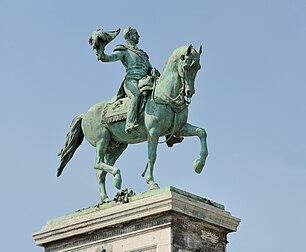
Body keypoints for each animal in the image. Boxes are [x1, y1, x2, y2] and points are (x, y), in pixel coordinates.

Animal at [56, 44, 208, 203]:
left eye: (198, 67)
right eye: (186, 66)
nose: (189, 92)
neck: (165, 95)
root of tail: (85, 114)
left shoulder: (179, 129)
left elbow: (201, 132)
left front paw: (198, 165)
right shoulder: (153, 133)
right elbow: (152, 156)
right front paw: (152, 183)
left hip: (117, 146)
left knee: (100, 172)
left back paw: (105, 199)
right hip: (101, 140)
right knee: (97, 163)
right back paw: (117, 179)